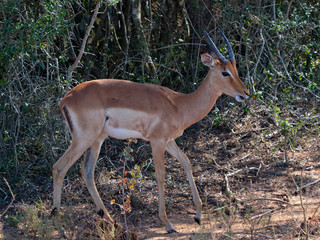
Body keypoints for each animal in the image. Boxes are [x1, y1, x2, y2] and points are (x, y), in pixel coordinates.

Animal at [52, 31, 250, 233]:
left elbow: (186, 162)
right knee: (59, 168)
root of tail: (65, 99)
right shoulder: (157, 141)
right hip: (83, 139)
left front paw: (198, 215)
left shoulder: (170, 141)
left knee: (87, 172)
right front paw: (167, 223)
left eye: (235, 69)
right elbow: (161, 174)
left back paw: (110, 221)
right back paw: (60, 227)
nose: (246, 93)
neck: (179, 105)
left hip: (97, 139)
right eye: (224, 72)